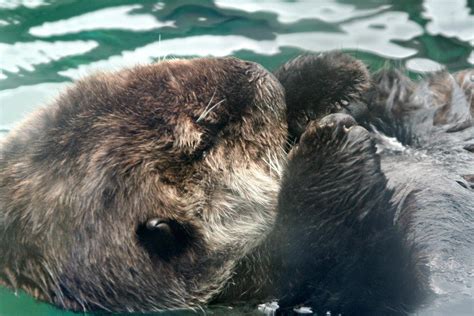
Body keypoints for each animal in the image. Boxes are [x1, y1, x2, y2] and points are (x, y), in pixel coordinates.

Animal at [0, 51, 472, 314]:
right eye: (207, 133)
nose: (250, 70)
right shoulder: (302, 287)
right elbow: (373, 277)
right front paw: (331, 144)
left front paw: (325, 73)